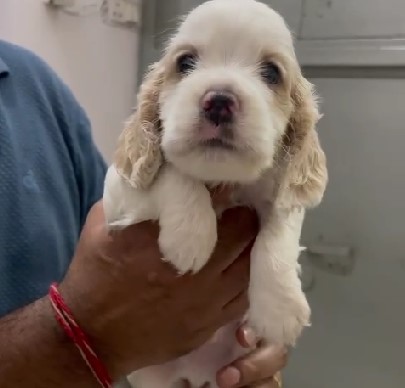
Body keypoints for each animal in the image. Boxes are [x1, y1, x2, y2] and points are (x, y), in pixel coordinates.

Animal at [102, 0, 326, 388]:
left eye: (271, 72)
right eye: (185, 63)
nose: (219, 100)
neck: (220, 178)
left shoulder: (282, 194)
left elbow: (279, 235)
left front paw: (280, 308)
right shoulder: (118, 189)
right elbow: (173, 171)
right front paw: (191, 237)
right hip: (154, 377)